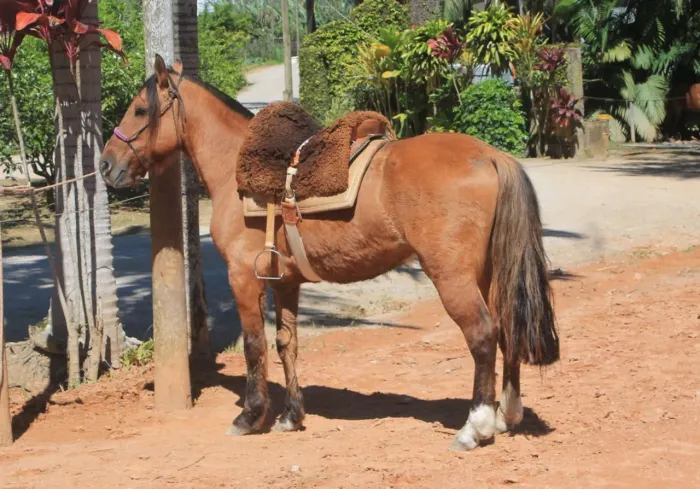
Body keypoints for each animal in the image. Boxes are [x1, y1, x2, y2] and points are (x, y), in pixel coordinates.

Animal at [100, 55, 559, 451]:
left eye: (139, 110)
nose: (105, 165)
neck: (235, 169)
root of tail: (491, 157)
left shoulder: (243, 278)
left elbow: (254, 345)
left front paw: (250, 416)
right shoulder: (285, 281)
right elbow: (286, 343)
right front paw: (291, 416)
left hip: (453, 277)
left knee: (482, 335)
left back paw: (475, 427)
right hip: (490, 272)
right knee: (507, 326)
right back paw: (506, 414)